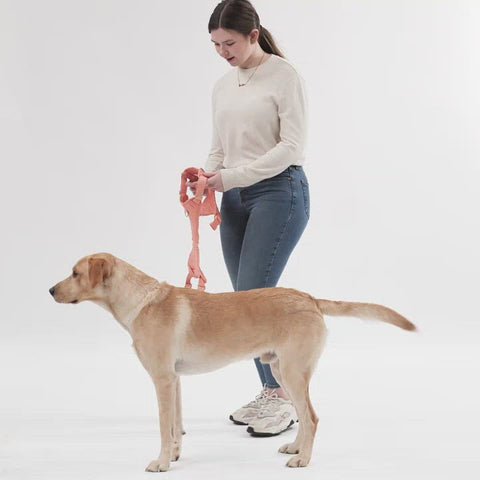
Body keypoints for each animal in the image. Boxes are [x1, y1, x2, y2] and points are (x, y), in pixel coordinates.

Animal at [49, 253, 416, 470]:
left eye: (75, 273)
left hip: (293, 371)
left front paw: (162, 462)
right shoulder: (174, 380)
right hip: (281, 369)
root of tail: (309, 297)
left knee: (311, 417)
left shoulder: (161, 379)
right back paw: (295, 448)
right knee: (302, 415)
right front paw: (176, 454)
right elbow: (176, 425)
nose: (50, 291)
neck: (140, 301)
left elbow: (164, 427)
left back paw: (304, 459)